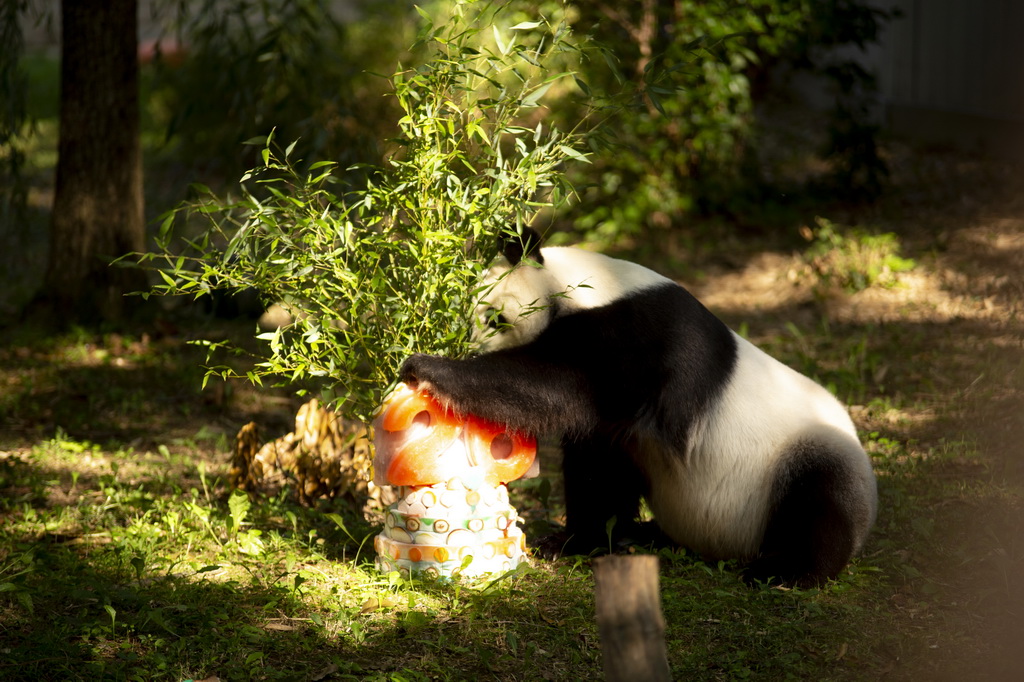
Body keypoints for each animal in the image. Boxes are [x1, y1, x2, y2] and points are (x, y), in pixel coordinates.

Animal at [395, 228, 876, 585]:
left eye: (495, 318)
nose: (469, 347)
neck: (588, 284)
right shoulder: (621, 425)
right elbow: (598, 465)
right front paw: (576, 541)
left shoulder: (639, 341)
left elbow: (555, 385)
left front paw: (428, 369)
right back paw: (644, 535)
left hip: (805, 457)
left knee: (820, 501)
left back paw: (784, 571)